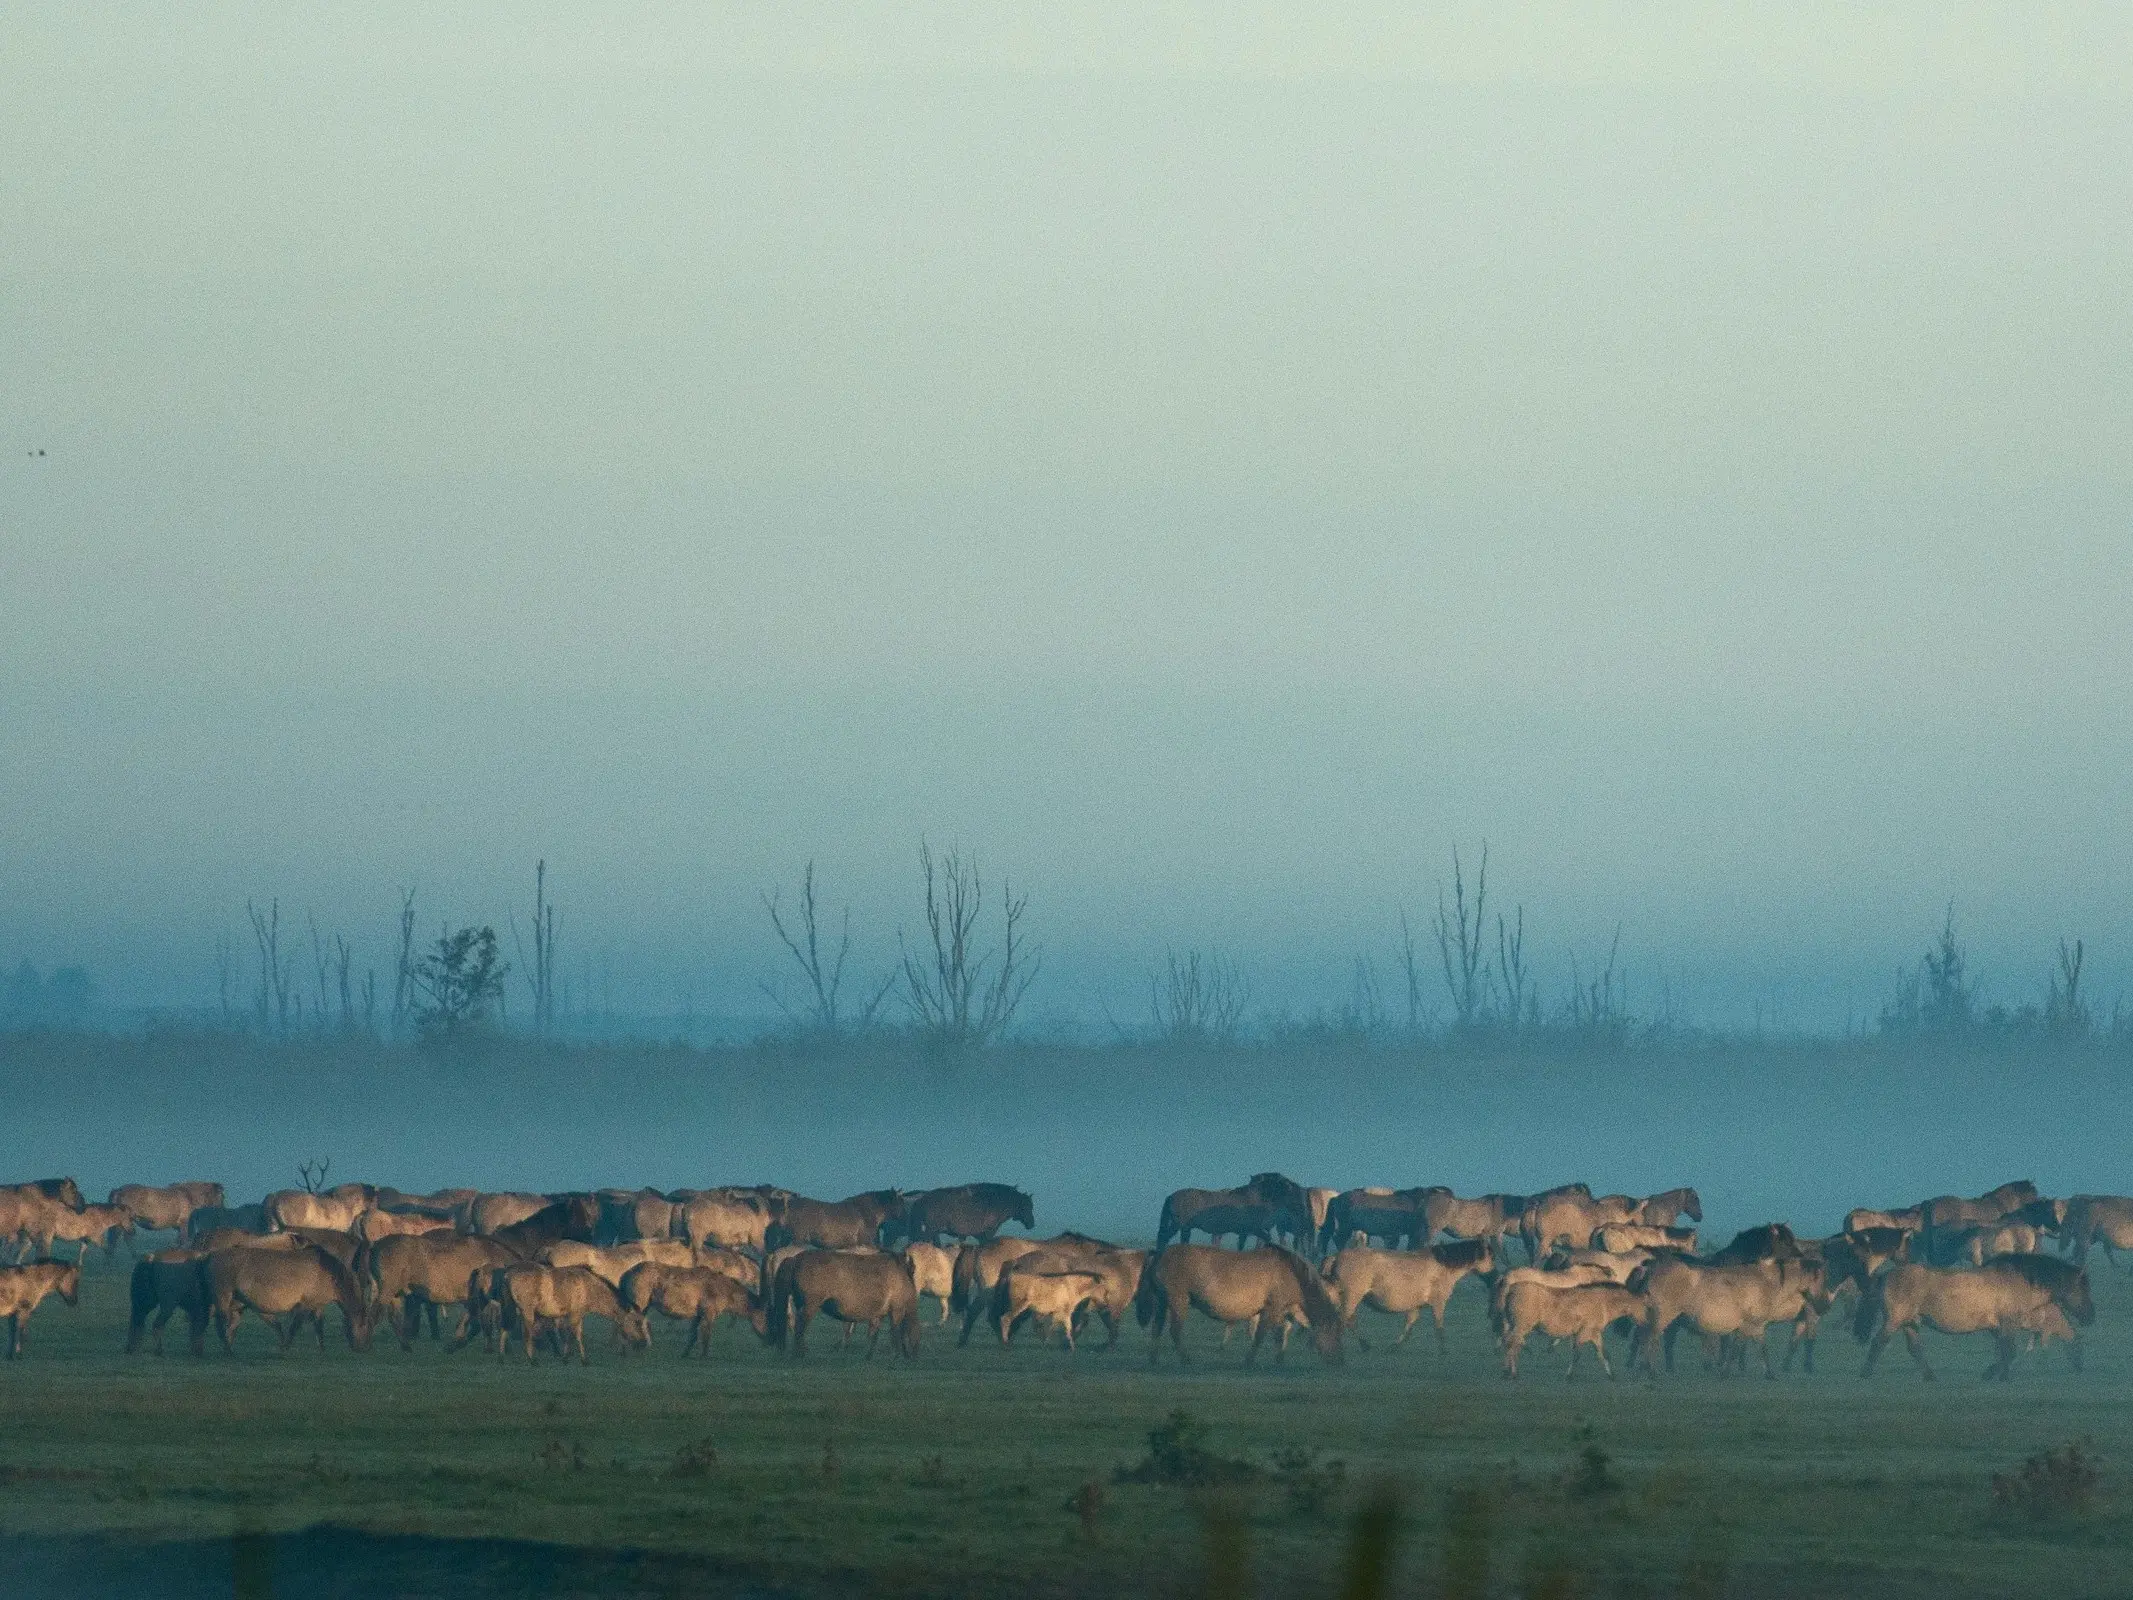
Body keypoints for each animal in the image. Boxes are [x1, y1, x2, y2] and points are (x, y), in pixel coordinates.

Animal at [1859, 1254, 2090, 1382]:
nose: (2090, 1316)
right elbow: (2009, 1351)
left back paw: (1930, 1377)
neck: (2017, 1280)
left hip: (1910, 1323)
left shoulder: (1998, 1328)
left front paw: (1993, 1373)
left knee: (1915, 1349)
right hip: (1894, 1321)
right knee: (1878, 1342)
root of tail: (1886, 1275)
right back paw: (1866, 1373)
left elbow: (2003, 1352)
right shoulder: (2008, 1324)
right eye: (2082, 1288)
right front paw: (2002, 1377)